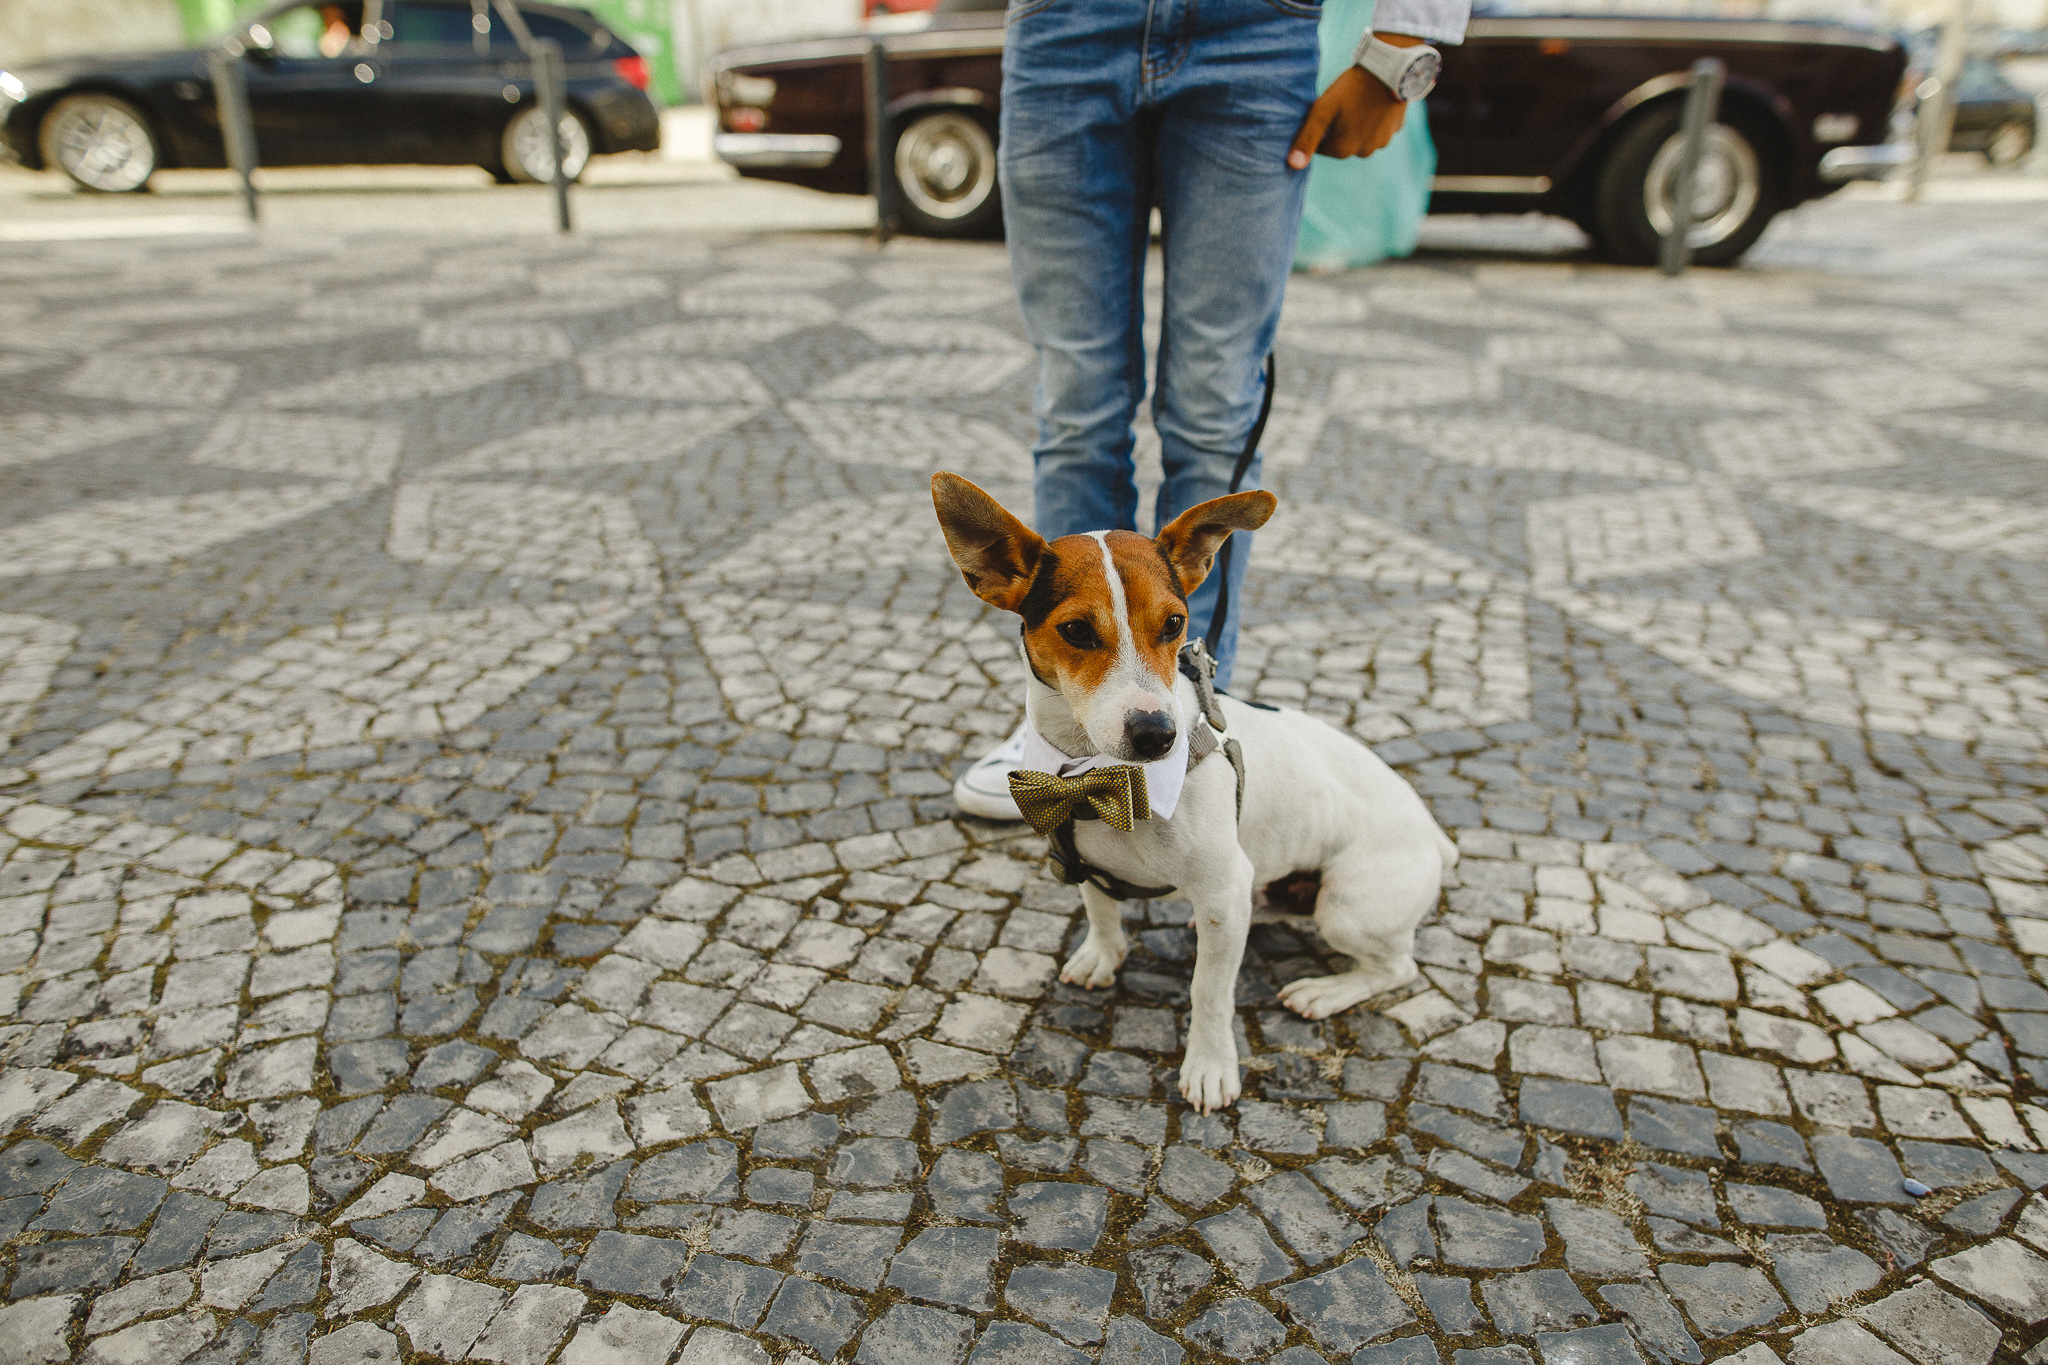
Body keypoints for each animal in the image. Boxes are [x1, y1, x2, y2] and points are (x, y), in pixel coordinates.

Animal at [929, 474, 1458, 1113]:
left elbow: (1210, 991)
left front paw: (1209, 1066)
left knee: (1398, 967)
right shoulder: (1084, 857)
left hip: (1349, 909)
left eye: (1175, 624)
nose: (1158, 734)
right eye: (1076, 630)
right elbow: (1100, 907)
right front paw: (1103, 953)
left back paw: (1326, 991)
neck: (1098, 778)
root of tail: (1434, 835)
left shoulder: (1222, 889)